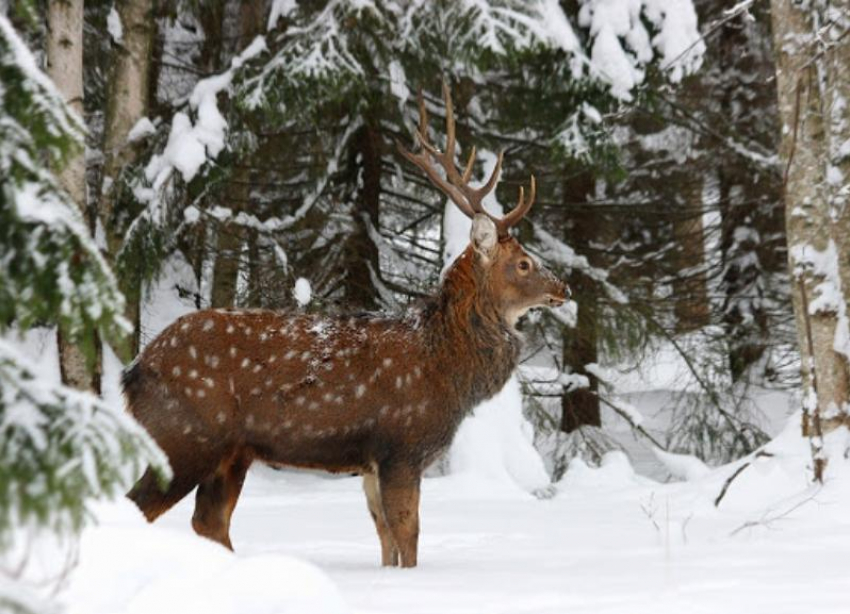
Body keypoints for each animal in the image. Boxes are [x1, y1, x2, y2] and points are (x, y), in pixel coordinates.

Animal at [122, 84, 568, 572]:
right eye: (524, 262)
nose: (563, 287)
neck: (445, 370)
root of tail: (133, 372)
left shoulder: (370, 462)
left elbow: (386, 540)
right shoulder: (401, 445)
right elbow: (409, 537)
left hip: (231, 452)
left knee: (209, 521)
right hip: (185, 434)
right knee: (139, 506)